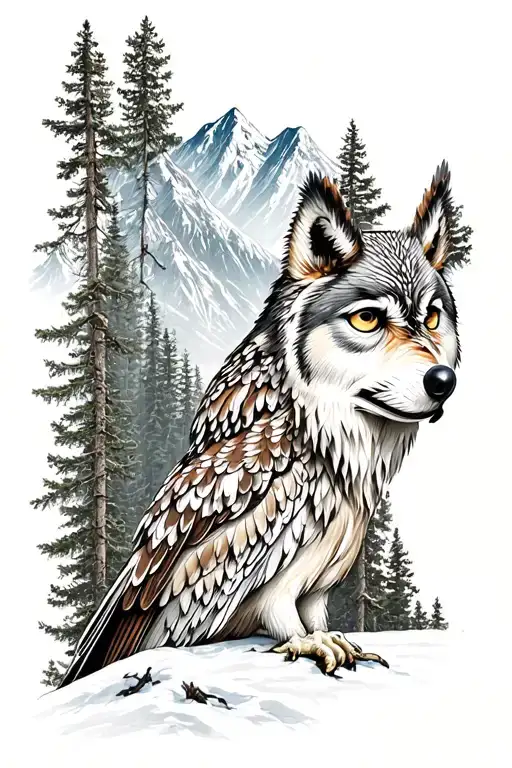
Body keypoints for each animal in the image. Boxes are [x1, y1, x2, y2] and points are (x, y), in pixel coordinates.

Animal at [59, 163, 459, 686]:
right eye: (368, 319)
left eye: (431, 317)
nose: (443, 381)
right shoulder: (276, 579)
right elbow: (286, 619)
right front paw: (312, 643)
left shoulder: (322, 579)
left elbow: (315, 613)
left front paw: (332, 637)